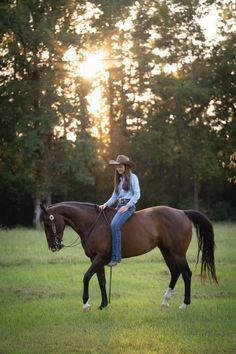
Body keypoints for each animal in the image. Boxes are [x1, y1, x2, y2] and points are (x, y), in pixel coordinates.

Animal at [40, 202, 218, 310]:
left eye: (48, 224)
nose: (53, 247)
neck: (93, 224)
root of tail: (182, 212)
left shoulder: (99, 258)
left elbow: (86, 277)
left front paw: (86, 304)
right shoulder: (96, 259)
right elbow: (101, 281)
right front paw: (103, 305)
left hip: (178, 253)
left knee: (186, 274)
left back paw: (184, 304)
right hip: (166, 251)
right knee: (175, 273)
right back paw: (165, 301)